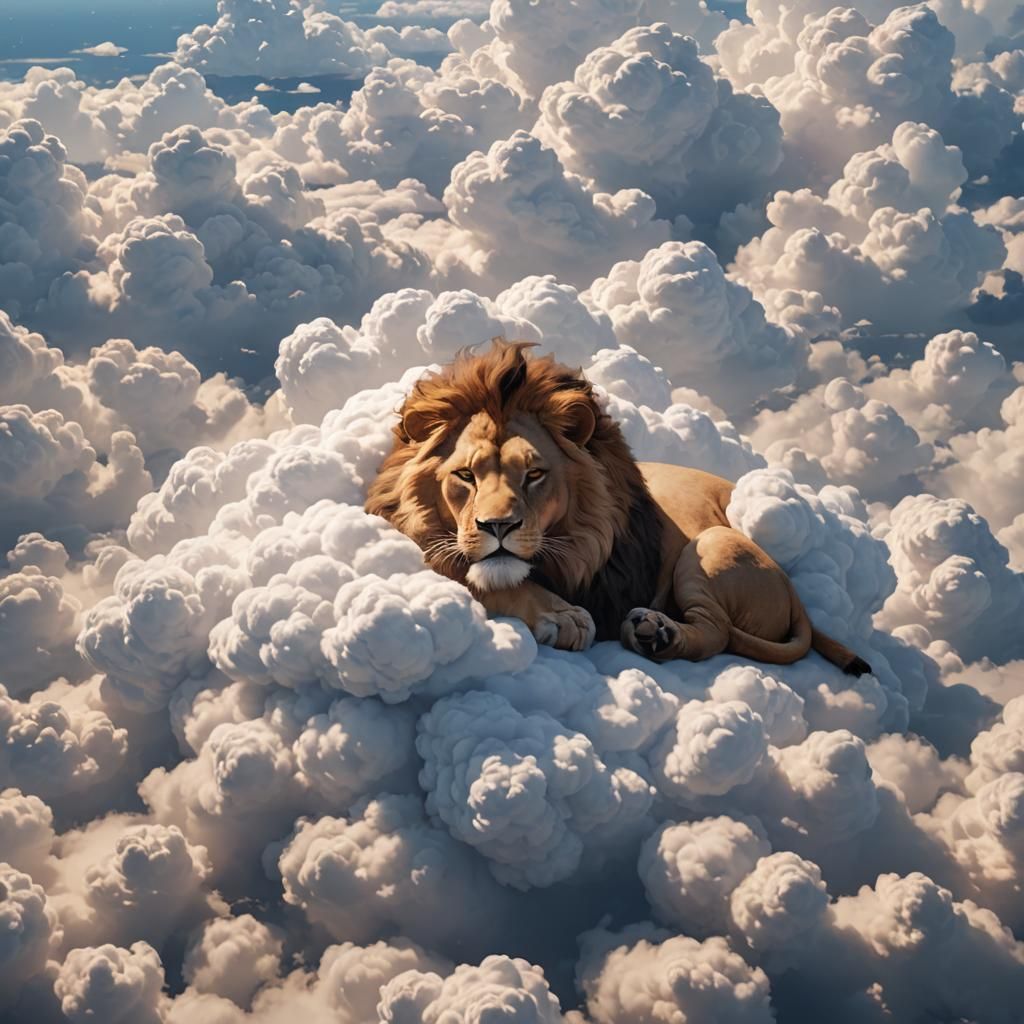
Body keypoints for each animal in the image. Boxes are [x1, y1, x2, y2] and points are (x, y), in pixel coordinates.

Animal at [366, 339, 871, 676]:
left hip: (710, 545)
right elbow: (472, 572)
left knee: (717, 632)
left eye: (535, 475)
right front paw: (559, 614)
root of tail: (794, 592)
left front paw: (562, 616)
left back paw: (656, 633)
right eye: (466, 476)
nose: (498, 526)